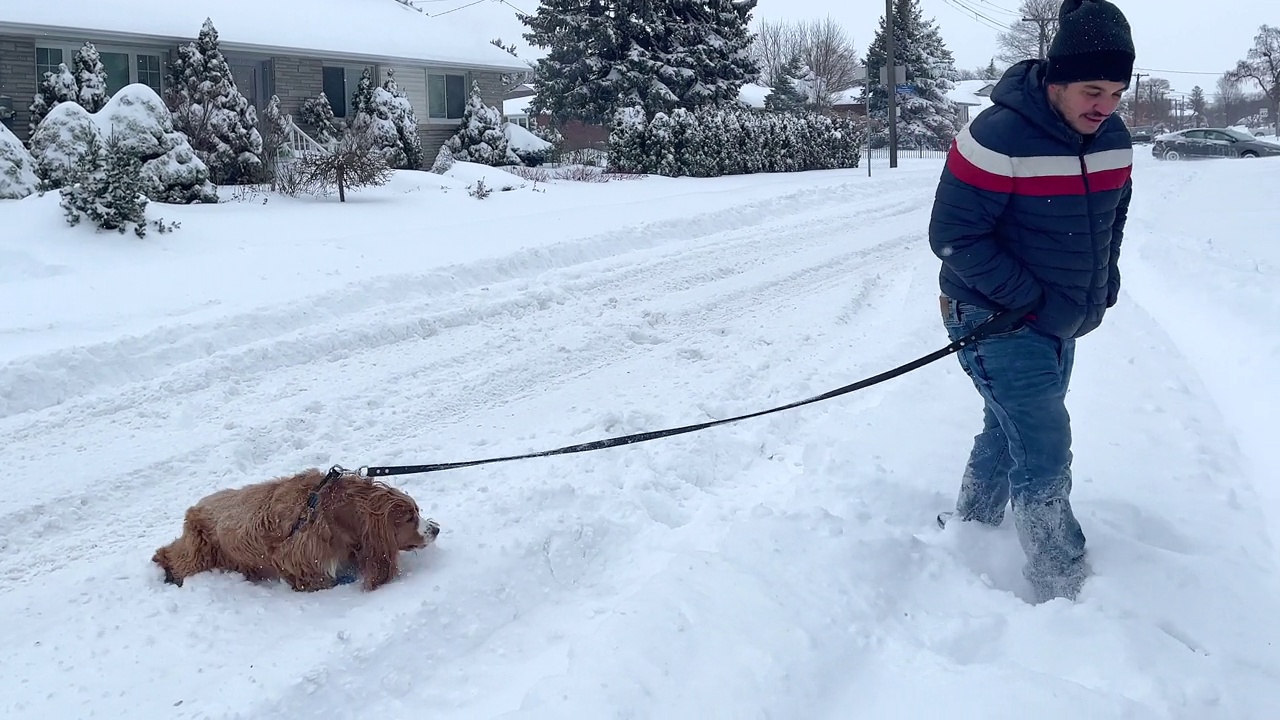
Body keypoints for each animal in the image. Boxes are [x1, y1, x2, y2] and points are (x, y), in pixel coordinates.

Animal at [151, 466, 435, 589]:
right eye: (409, 518)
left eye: (417, 511)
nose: (436, 529)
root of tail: (195, 507)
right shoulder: (297, 557)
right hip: (201, 553)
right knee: (175, 556)